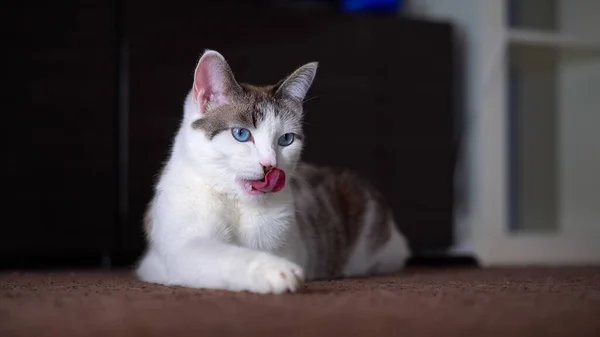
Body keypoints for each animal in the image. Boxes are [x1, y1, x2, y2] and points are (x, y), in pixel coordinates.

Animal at [137, 48, 410, 292]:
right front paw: (273, 271)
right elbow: (221, 256)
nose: (270, 165)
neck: (237, 203)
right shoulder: (177, 247)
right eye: (241, 134)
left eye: (286, 139)